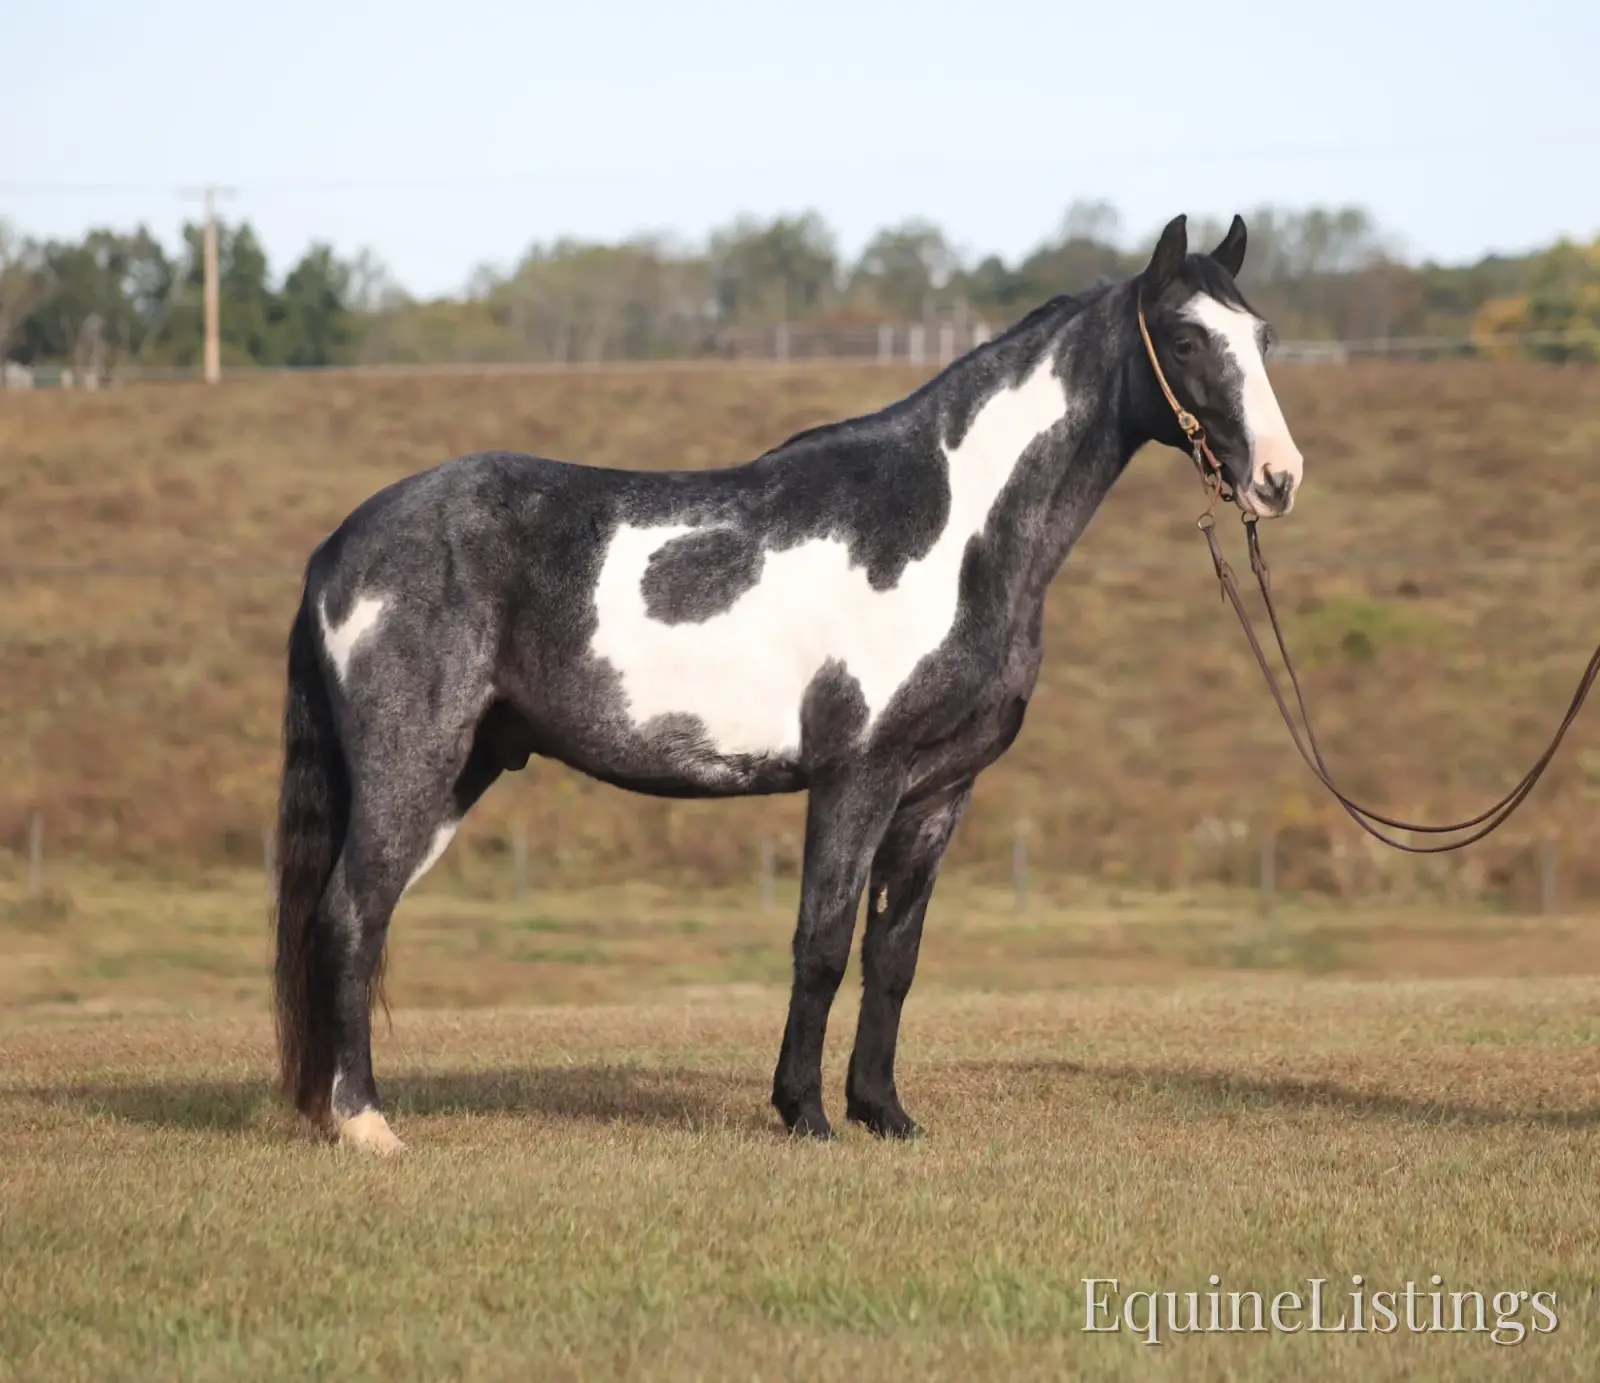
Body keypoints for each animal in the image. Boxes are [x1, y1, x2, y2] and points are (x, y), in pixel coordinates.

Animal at [271, 211, 1305, 1155]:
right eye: (1185, 338)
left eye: (1261, 337)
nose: (1279, 478)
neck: (948, 530)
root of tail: (337, 549)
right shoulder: (857, 775)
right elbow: (823, 941)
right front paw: (805, 1113)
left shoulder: (938, 790)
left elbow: (893, 955)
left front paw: (884, 1112)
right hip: (412, 768)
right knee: (350, 917)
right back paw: (366, 1124)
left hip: (457, 776)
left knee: (357, 921)